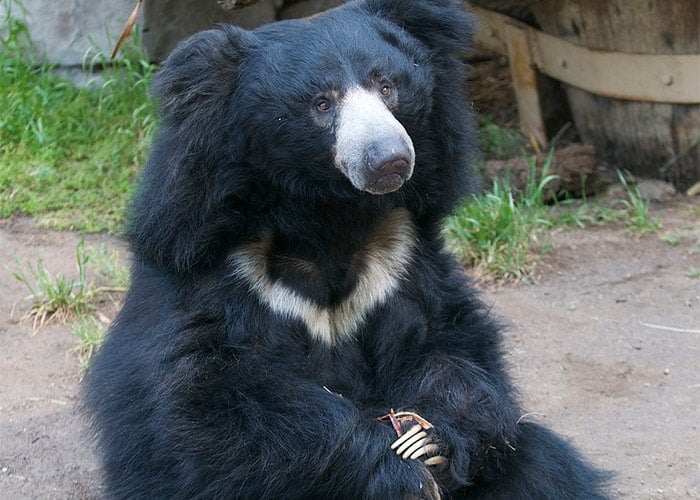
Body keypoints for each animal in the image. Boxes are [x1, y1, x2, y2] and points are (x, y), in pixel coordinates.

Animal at [84, 0, 611, 498]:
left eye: (387, 87)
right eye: (321, 104)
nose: (390, 159)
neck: (330, 216)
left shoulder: (400, 257)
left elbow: (447, 342)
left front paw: (428, 439)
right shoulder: (220, 267)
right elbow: (220, 399)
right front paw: (396, 467)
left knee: (542, 465)